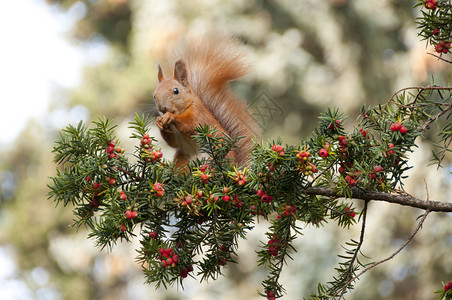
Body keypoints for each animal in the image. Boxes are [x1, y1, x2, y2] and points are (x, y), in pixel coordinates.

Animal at [153, 32, 258, 171]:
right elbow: (173, 142)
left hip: (215, 159)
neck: (182, 109)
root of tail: (234, 165)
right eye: (154, 96)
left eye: (176, 91)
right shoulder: (177, 138)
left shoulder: (199, 114)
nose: (162, 108)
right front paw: (159, 122)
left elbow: (191, 125)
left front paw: (170, 116)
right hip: (182, 161)